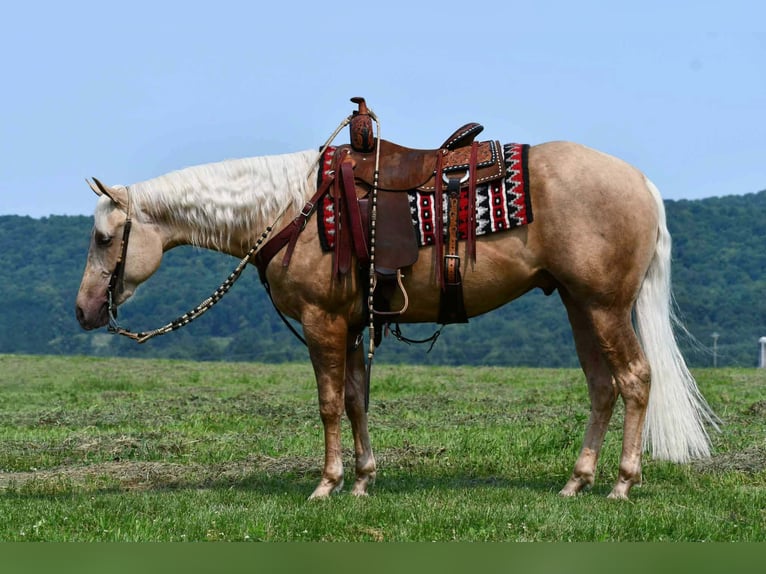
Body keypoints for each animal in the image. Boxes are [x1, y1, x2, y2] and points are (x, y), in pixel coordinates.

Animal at [75, 121, 718, 500]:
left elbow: (329, 404)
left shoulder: (323, 322)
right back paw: (576, 482)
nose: (84, 311)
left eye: (105, 239)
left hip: (605, 305)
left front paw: (327, 485)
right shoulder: (352, 324)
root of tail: (641, 183)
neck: (289, 207)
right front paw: (362, 480)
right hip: (580, 304)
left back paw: (622, 484)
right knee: (602, 386)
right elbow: (357, 401)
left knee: (635, 379)